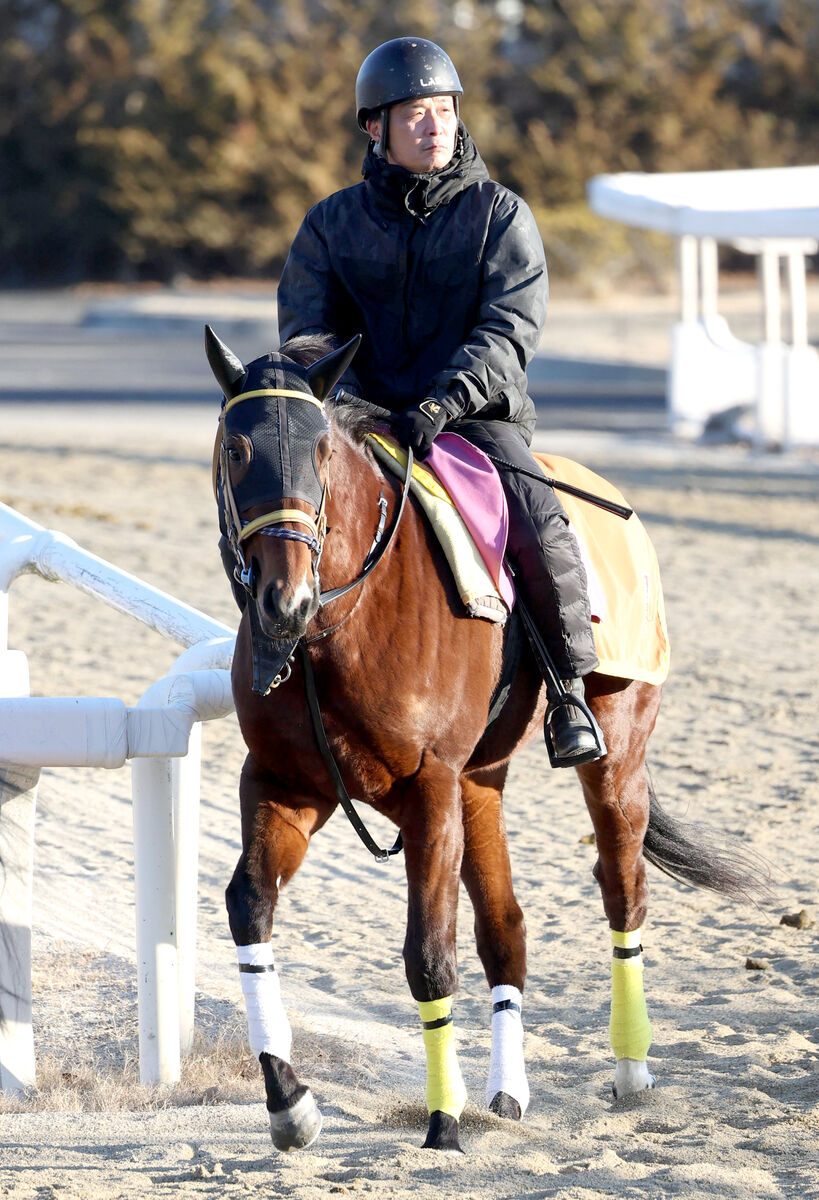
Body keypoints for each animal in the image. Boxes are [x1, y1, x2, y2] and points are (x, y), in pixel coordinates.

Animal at [204, 326, 754, 1152]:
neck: (341, 626)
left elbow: (430, 956)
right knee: (507, 926)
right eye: (236, 450)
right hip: (480, 783)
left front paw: (441, 1122)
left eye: (321, 451)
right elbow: (248, 906)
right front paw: (289, 1102)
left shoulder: (429, 789)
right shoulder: (286, 784)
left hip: (614, 755)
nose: (284, 601)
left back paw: (630, 1070)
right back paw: (507, 1091)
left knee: (622, 889)